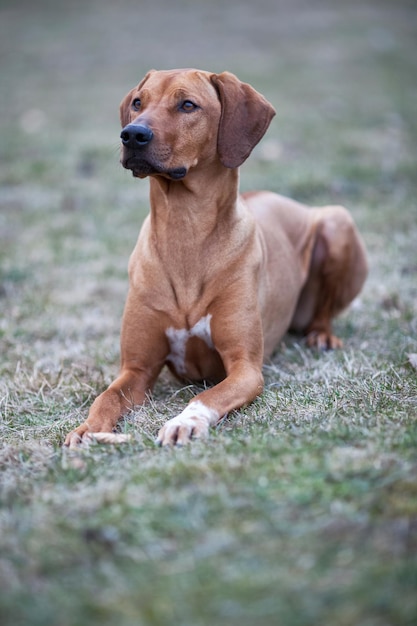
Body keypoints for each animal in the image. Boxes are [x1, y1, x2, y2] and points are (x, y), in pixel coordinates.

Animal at [63, 68, 366, 446]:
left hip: (338, 221)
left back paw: (322, 336)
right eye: (137, 102)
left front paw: (184, 421)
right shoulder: (136, 368)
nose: (132, 134)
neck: (185, 230)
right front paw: (86, 430)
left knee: (323, 313)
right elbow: (106, 397)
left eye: (188, 105)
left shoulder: (245, 368)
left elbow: (207, 395)